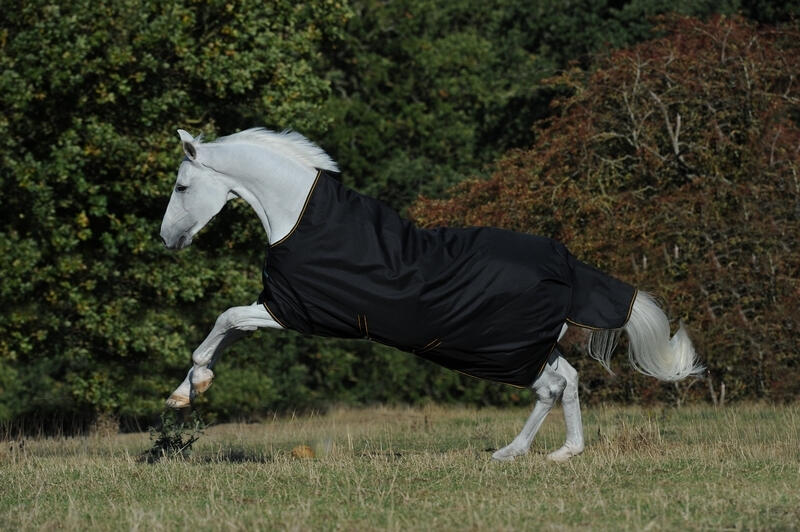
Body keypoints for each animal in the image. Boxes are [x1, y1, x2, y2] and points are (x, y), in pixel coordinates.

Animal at [160, 128, 703, 462]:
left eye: (182, 187)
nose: (167, 239)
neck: (299, 216)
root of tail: (567, 265)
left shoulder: (294, 311)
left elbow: (226, 320)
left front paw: (185, 392)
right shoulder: (281, 308)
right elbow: (229, 328)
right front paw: (191, 390)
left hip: (503, 350)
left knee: (549, 387)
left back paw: (511, 453)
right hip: (532, 345)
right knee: (567, 381)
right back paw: (561, 452)